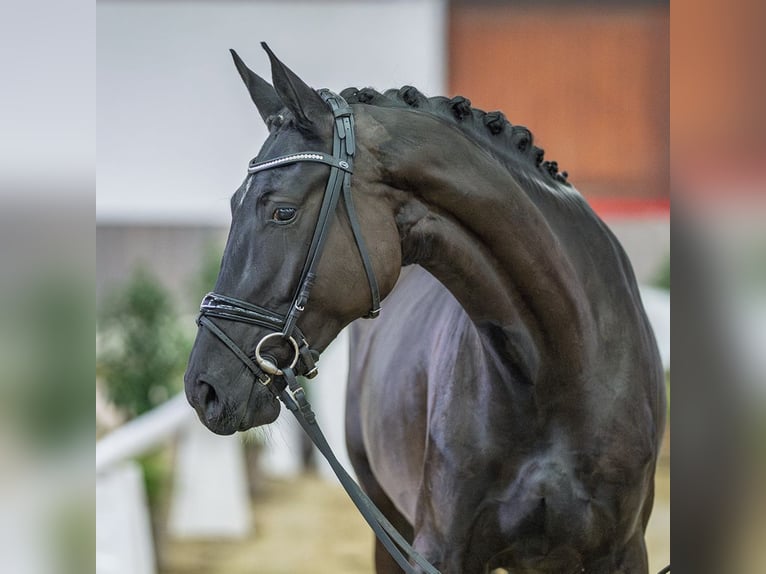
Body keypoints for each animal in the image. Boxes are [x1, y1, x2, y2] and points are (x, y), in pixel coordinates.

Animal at [185, 44, 666, 573]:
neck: (557, 370)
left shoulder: (623, 553)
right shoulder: (438, 546)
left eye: (282, 211)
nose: (203, 389)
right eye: (234, 203)